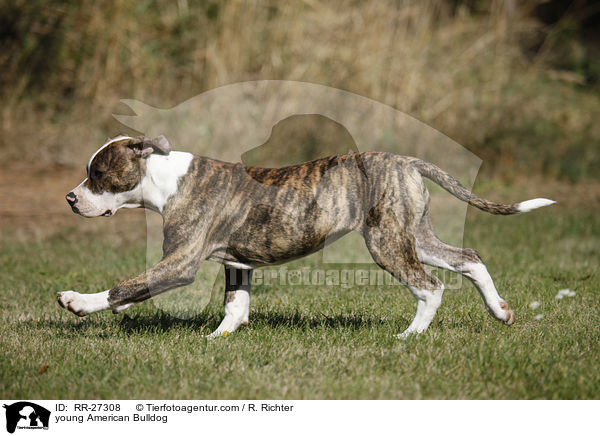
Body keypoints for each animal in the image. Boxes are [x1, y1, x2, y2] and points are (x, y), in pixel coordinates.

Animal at [58, 135, 556, 338]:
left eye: (98, 173)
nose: (70, 198)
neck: (164, 178)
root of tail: (407, 161)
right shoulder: (237, 263)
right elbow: (235, 306)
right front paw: (217, 340)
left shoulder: (180, 264)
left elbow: (127, 287)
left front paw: (79, 302)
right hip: (415, 235)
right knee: (468, 257)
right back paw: (501, 312)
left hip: (387, 242)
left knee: (430, 287)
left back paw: (409, 336)